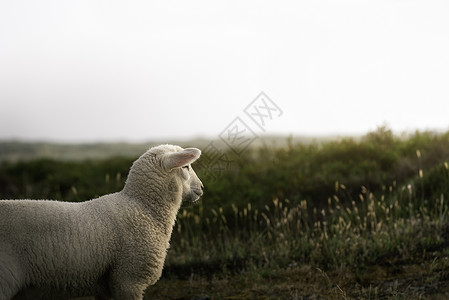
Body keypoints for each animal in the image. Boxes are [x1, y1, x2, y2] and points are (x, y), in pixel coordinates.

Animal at [0, 144, 203, 298]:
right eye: (186, 167)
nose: (201, 187)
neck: (144, 208)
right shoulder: (128, 279)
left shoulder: (105, 286)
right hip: (5, 277)